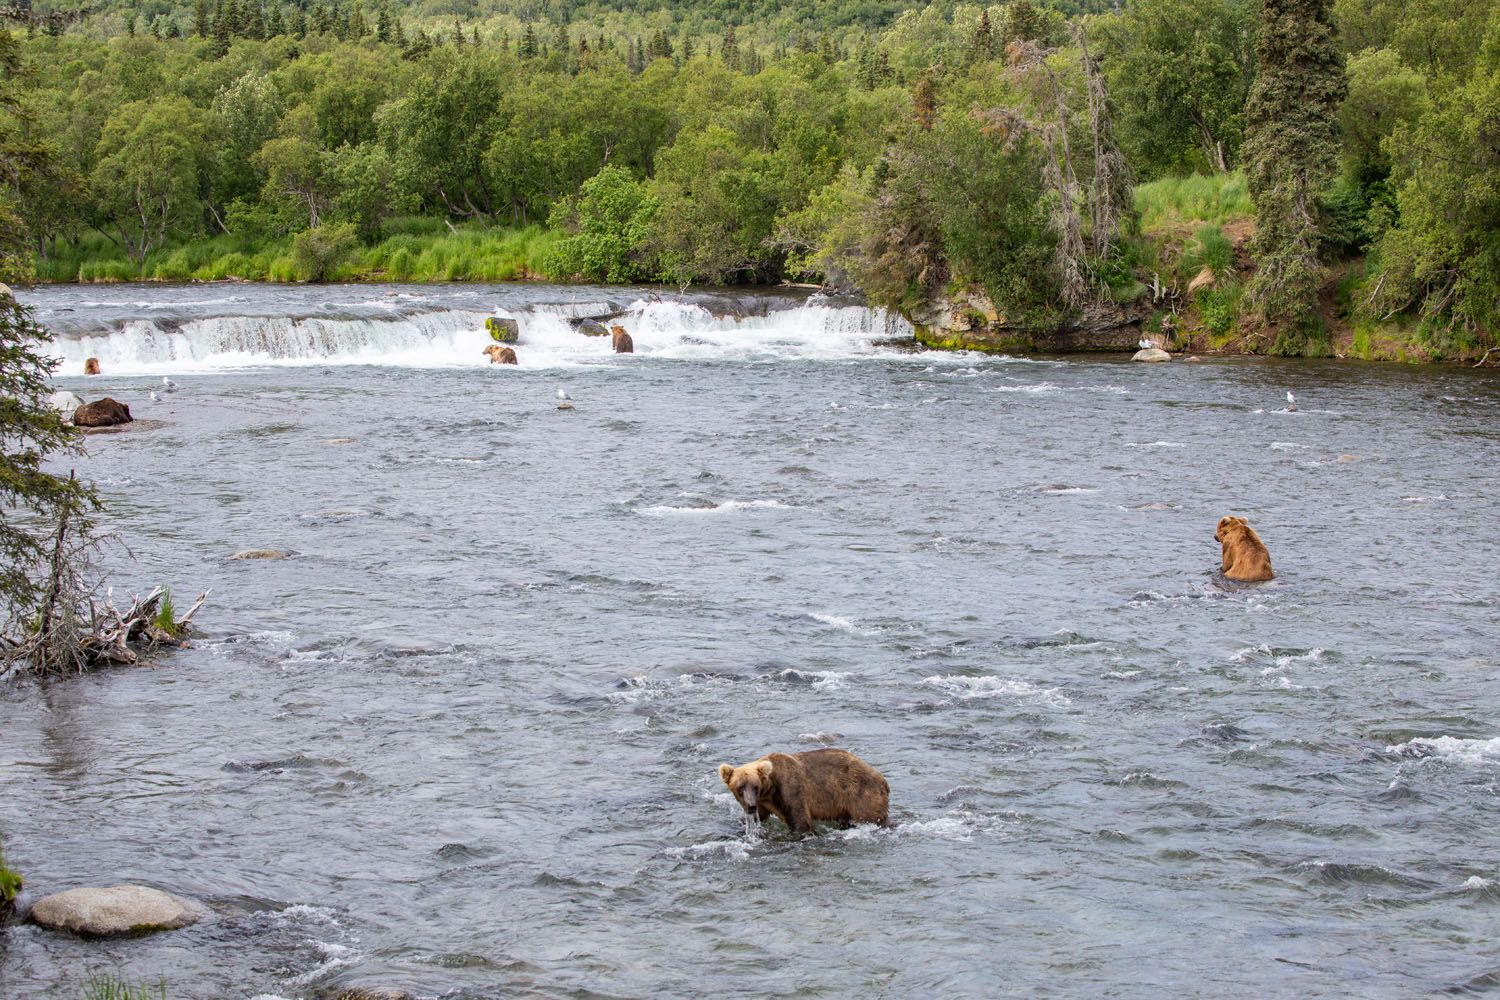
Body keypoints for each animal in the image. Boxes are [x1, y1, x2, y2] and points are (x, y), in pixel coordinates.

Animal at [717, 746, 882, 833]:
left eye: (755, 787)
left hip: (860, 794)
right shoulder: (763, 803)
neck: (769, 791)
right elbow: (761, 816)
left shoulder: (789, 789)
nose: (751, 807)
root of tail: (880, 777)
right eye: (740, 787)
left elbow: (800, 821)